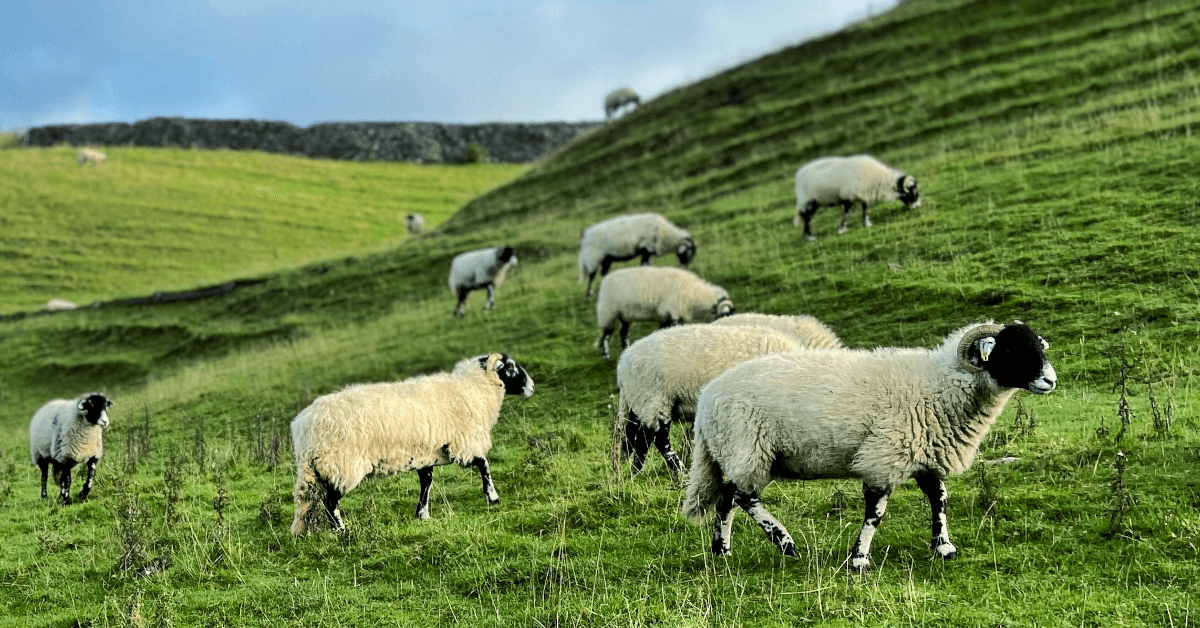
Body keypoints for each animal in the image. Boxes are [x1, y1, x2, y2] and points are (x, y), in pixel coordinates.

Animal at [288, 353, 532, 535]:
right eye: (511, 368)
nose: (531, 386)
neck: (474, 388)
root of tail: (303, 425)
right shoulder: (463, 442)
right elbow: (484, 464)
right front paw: (493, 497)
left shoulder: (426, 453)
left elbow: (427, 483)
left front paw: (422, 514)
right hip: (340, 464)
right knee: (330, 502)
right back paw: (340, 531)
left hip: (315, 468)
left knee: (308, 501)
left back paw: (306, 531)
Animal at [595, 267, 734, 360]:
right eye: (724, 315)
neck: (696, 295)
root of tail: (606, 280)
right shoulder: (672, 311)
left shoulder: (669, 315)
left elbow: (662, 330)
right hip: (608, 312)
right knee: (607, 333)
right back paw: (606, 356)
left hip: (625, 315)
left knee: (623, 333)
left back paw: (625, 350)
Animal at [686, 321, 1060, 571]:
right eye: (1010, 350)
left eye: (1037, 346)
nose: (1050, 381)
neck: (940, 386)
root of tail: (707, 398)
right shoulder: (884, 457)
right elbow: (875, 513)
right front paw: (859, 559)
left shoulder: (923, 453)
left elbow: (939, 498)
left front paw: (944, 547)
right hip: (749, 448)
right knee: (744, 498)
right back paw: (785, 543)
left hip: (743, 453)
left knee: (727, 499)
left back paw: (723, 552)